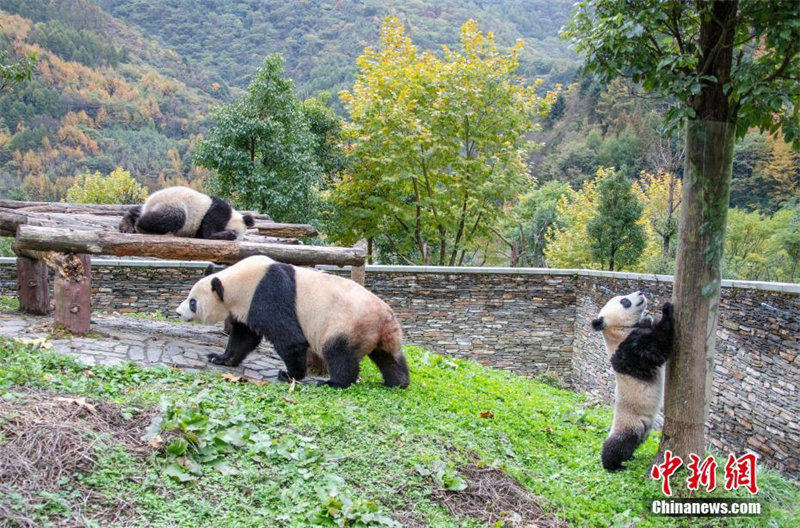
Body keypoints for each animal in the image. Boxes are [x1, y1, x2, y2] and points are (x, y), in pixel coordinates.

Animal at [119, 186, 255, 240]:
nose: (236, 238)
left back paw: (127, 225)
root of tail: (148, 204)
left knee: (136, 211)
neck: (232, 216)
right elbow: (208, 232)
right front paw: (229, 234)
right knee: (174, 217)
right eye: (238, 233)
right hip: (171, 204)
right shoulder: (217, 211)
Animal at [175, 255, 409, 389]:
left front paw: (289, 375)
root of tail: (385, 320)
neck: (237, 280)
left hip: (348, 324)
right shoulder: (246, 307)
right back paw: (397, 382)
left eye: (192, 302)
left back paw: (333, 382)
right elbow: (243, 336)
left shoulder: (267, 294)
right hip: (381, 334)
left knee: (339, 353)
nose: (178, 312)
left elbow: (290, 339)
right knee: (388, 357)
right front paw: (220, 358)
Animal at [591, 291, 674, 471]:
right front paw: (666, 309)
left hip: (644, 429)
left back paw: (630, 457)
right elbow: (657, 346)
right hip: (629, 423)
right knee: (618, 445)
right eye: (625, 301)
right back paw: (613, 465)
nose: (640, 292)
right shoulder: (629, 350)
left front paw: (649, 316)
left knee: (635, 444)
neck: (617, 329)